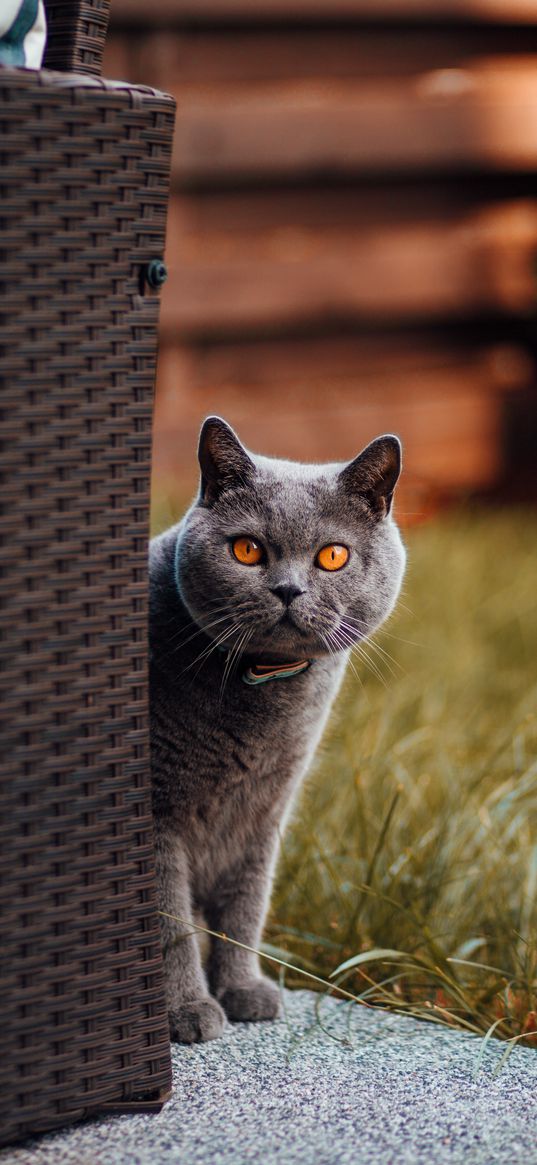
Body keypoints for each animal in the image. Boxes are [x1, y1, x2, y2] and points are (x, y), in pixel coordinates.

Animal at [148, 419, 403, 1048]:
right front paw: (188, 1011)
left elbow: (247, 905)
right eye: (247, 549)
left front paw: (243, 990)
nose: (288, 590)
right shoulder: (158, 816)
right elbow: (170, 921)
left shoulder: (265, 811)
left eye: (332, 556)